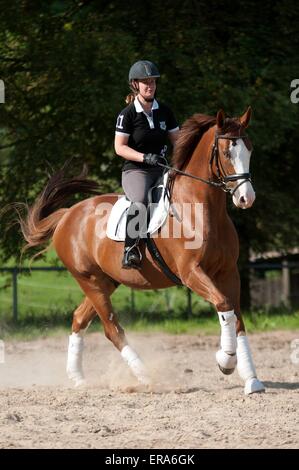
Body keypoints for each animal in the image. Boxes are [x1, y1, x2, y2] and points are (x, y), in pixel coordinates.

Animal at [19, 108, 266, 394]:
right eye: (226, 153)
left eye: (249, 150)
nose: (246, 198)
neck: (202, 211)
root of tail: (68, 214)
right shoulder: (191, 273)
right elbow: (224, 305)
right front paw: (225, 360)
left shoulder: (228, 273)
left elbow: (237, 319)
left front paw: (251, 378)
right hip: (89, 280)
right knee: (112, 328)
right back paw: (146, 376)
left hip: (105, 281)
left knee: (79, 318)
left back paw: (79, 378)